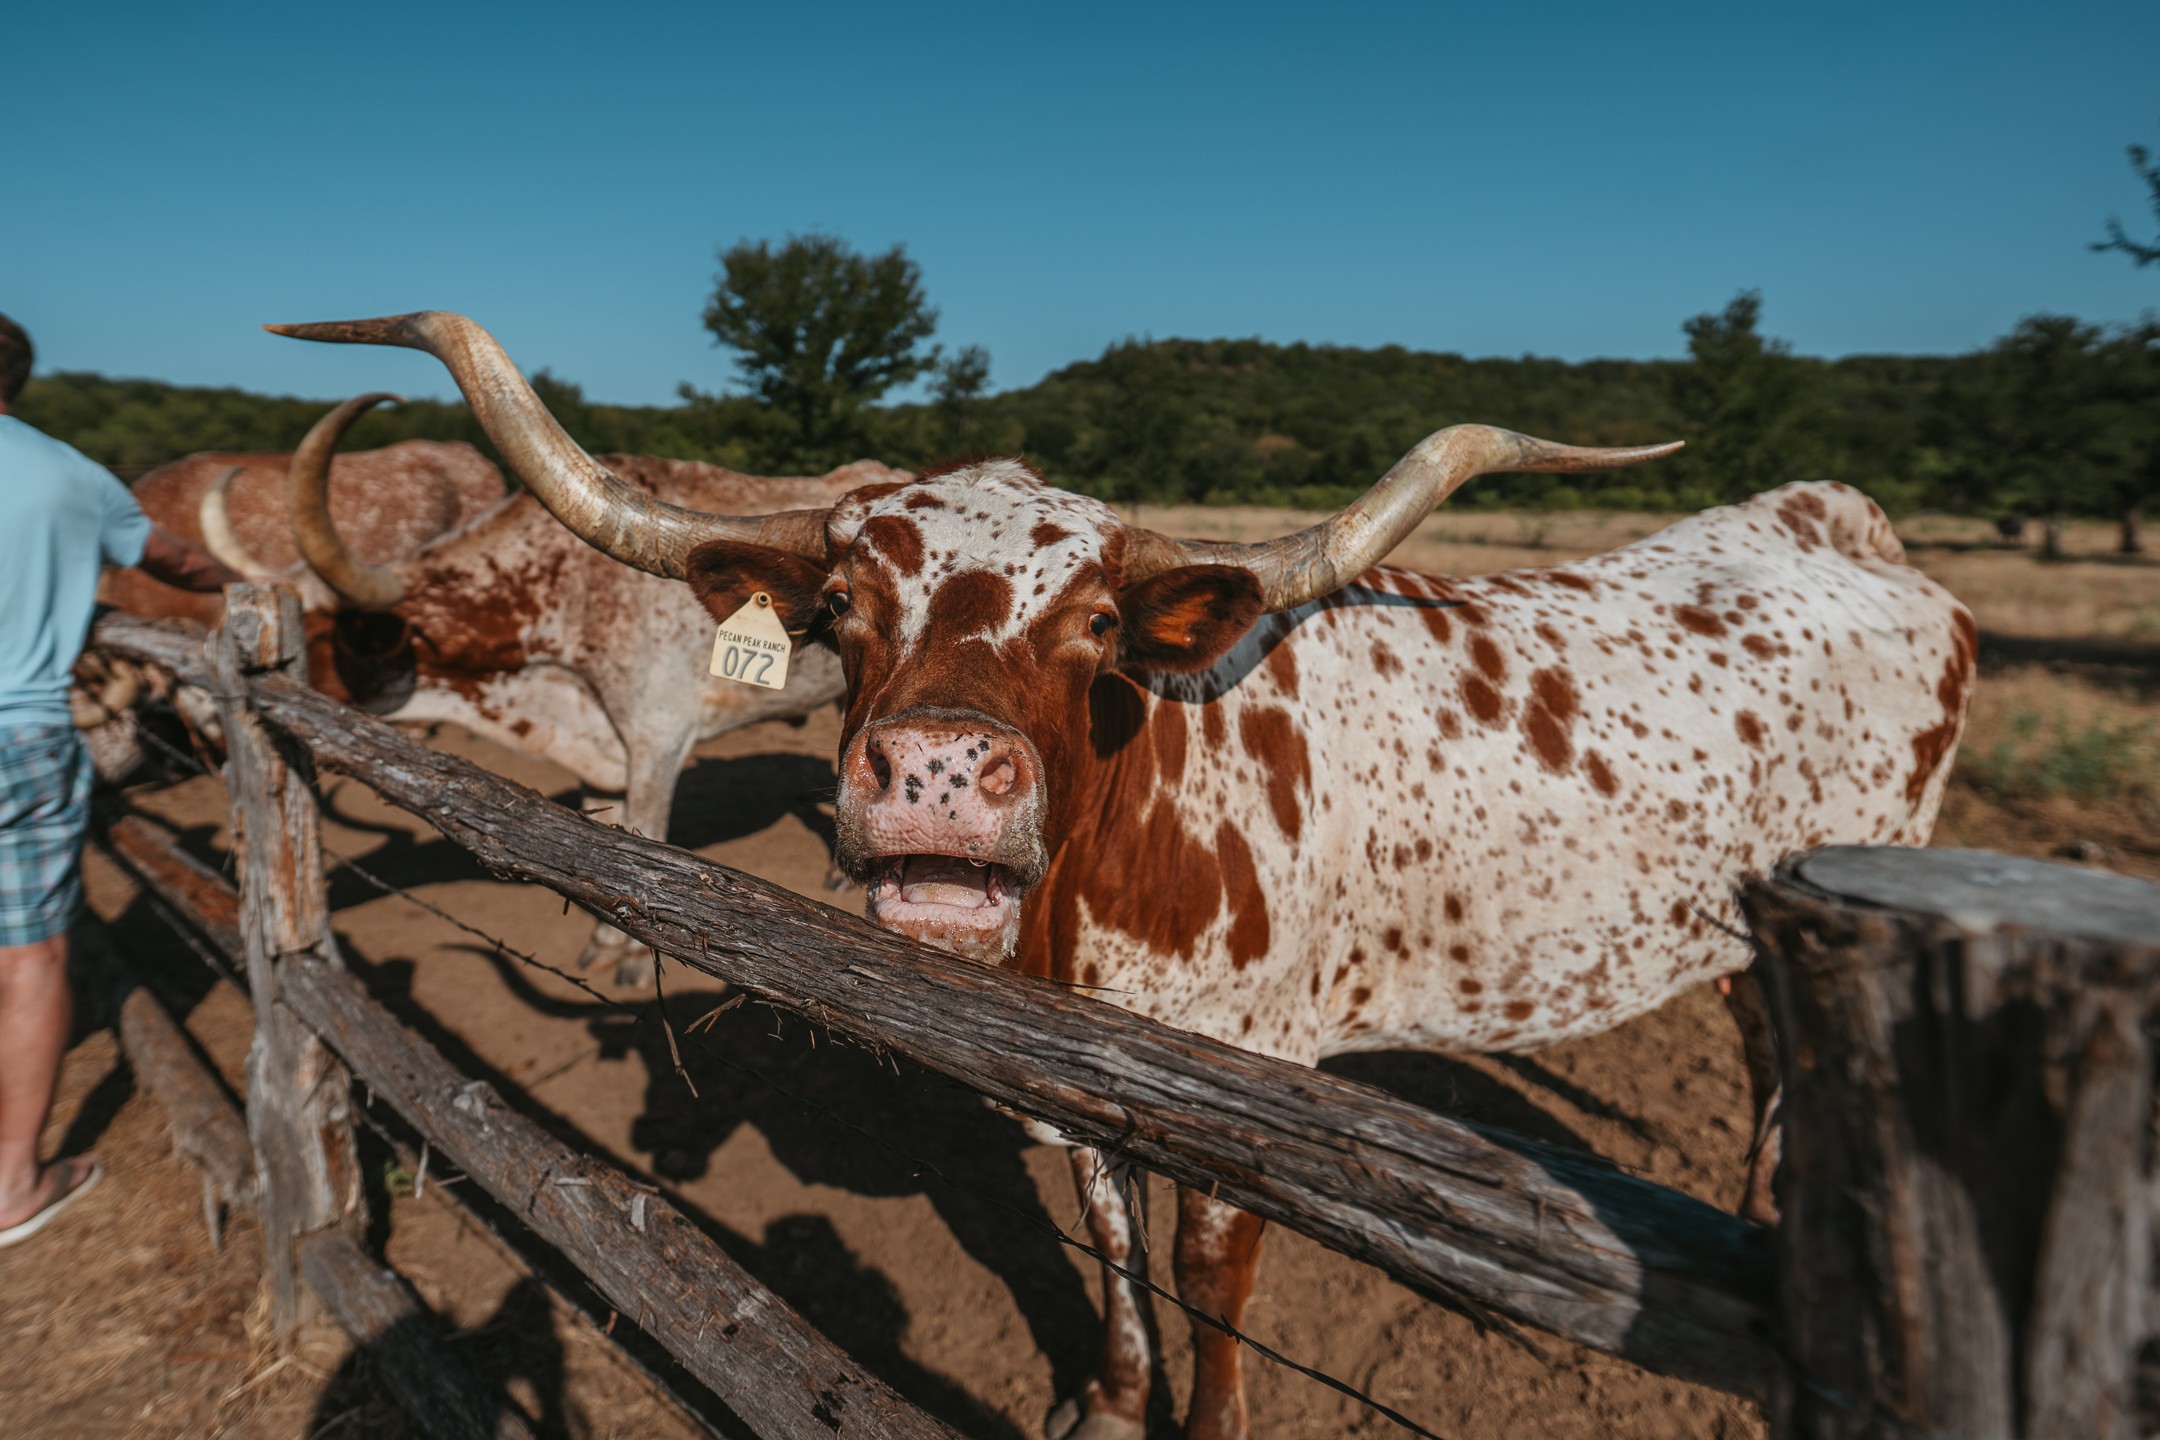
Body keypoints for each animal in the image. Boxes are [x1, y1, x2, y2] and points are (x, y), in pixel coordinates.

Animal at [235, 393, 893, 985]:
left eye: (318, 632)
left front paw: (630, 958)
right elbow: (613, 844)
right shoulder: (602, 753)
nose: (214, 715)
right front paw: (606, 938)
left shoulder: (659, 739)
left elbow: (651, 837)